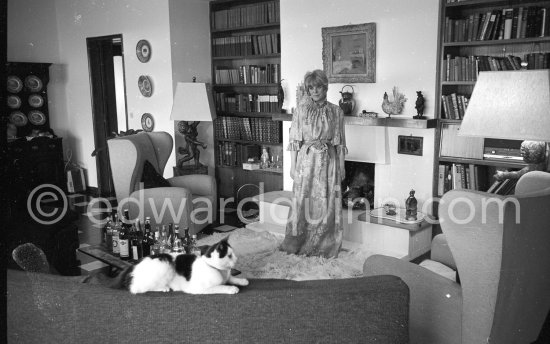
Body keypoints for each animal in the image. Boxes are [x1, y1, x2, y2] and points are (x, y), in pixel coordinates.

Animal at [113, 238, 250, 294]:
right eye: (230, 255)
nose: (236, 259)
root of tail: (133, 265)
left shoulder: (227, 276)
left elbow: (231, 278)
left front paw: (242, 281)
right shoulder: (199, 288)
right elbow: (220, 287)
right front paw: (231, 288)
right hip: (164, 265)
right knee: (137, 289)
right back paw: (163, 288)